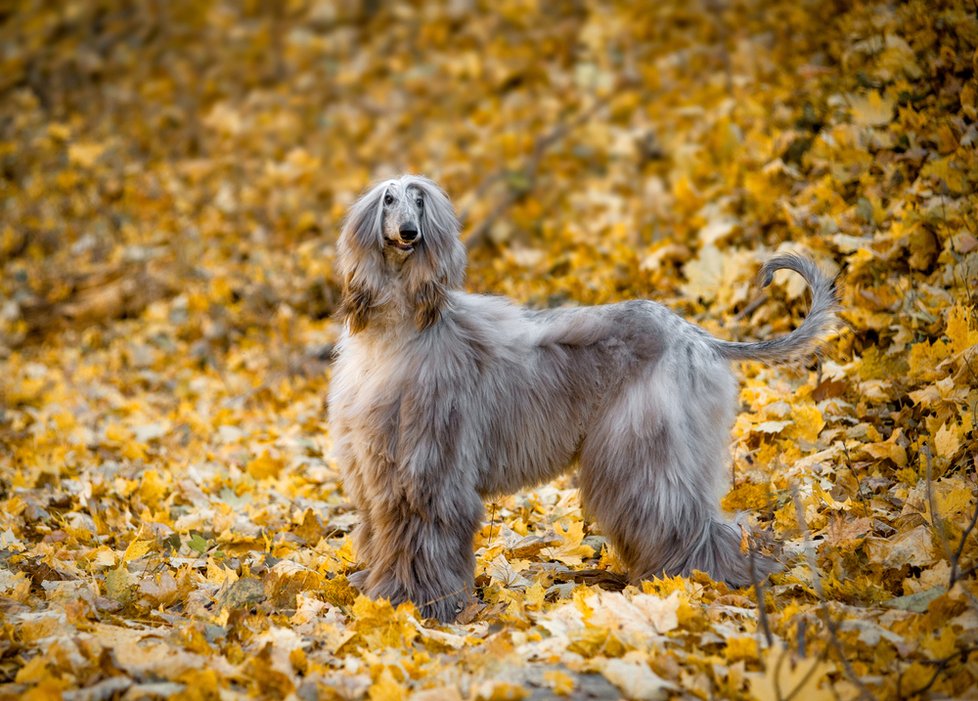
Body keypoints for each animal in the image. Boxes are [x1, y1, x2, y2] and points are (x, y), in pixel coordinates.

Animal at [328, 174, 832, 616]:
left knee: (684, 517)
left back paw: (711, 580)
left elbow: (421, 534)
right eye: (388, 200)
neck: (400, 332)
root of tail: (696, 335)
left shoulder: (428, 466)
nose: (408, 233)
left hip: (644, 447)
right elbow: (382, 532)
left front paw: (414, 603)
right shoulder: (375, 462)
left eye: (420, 202)